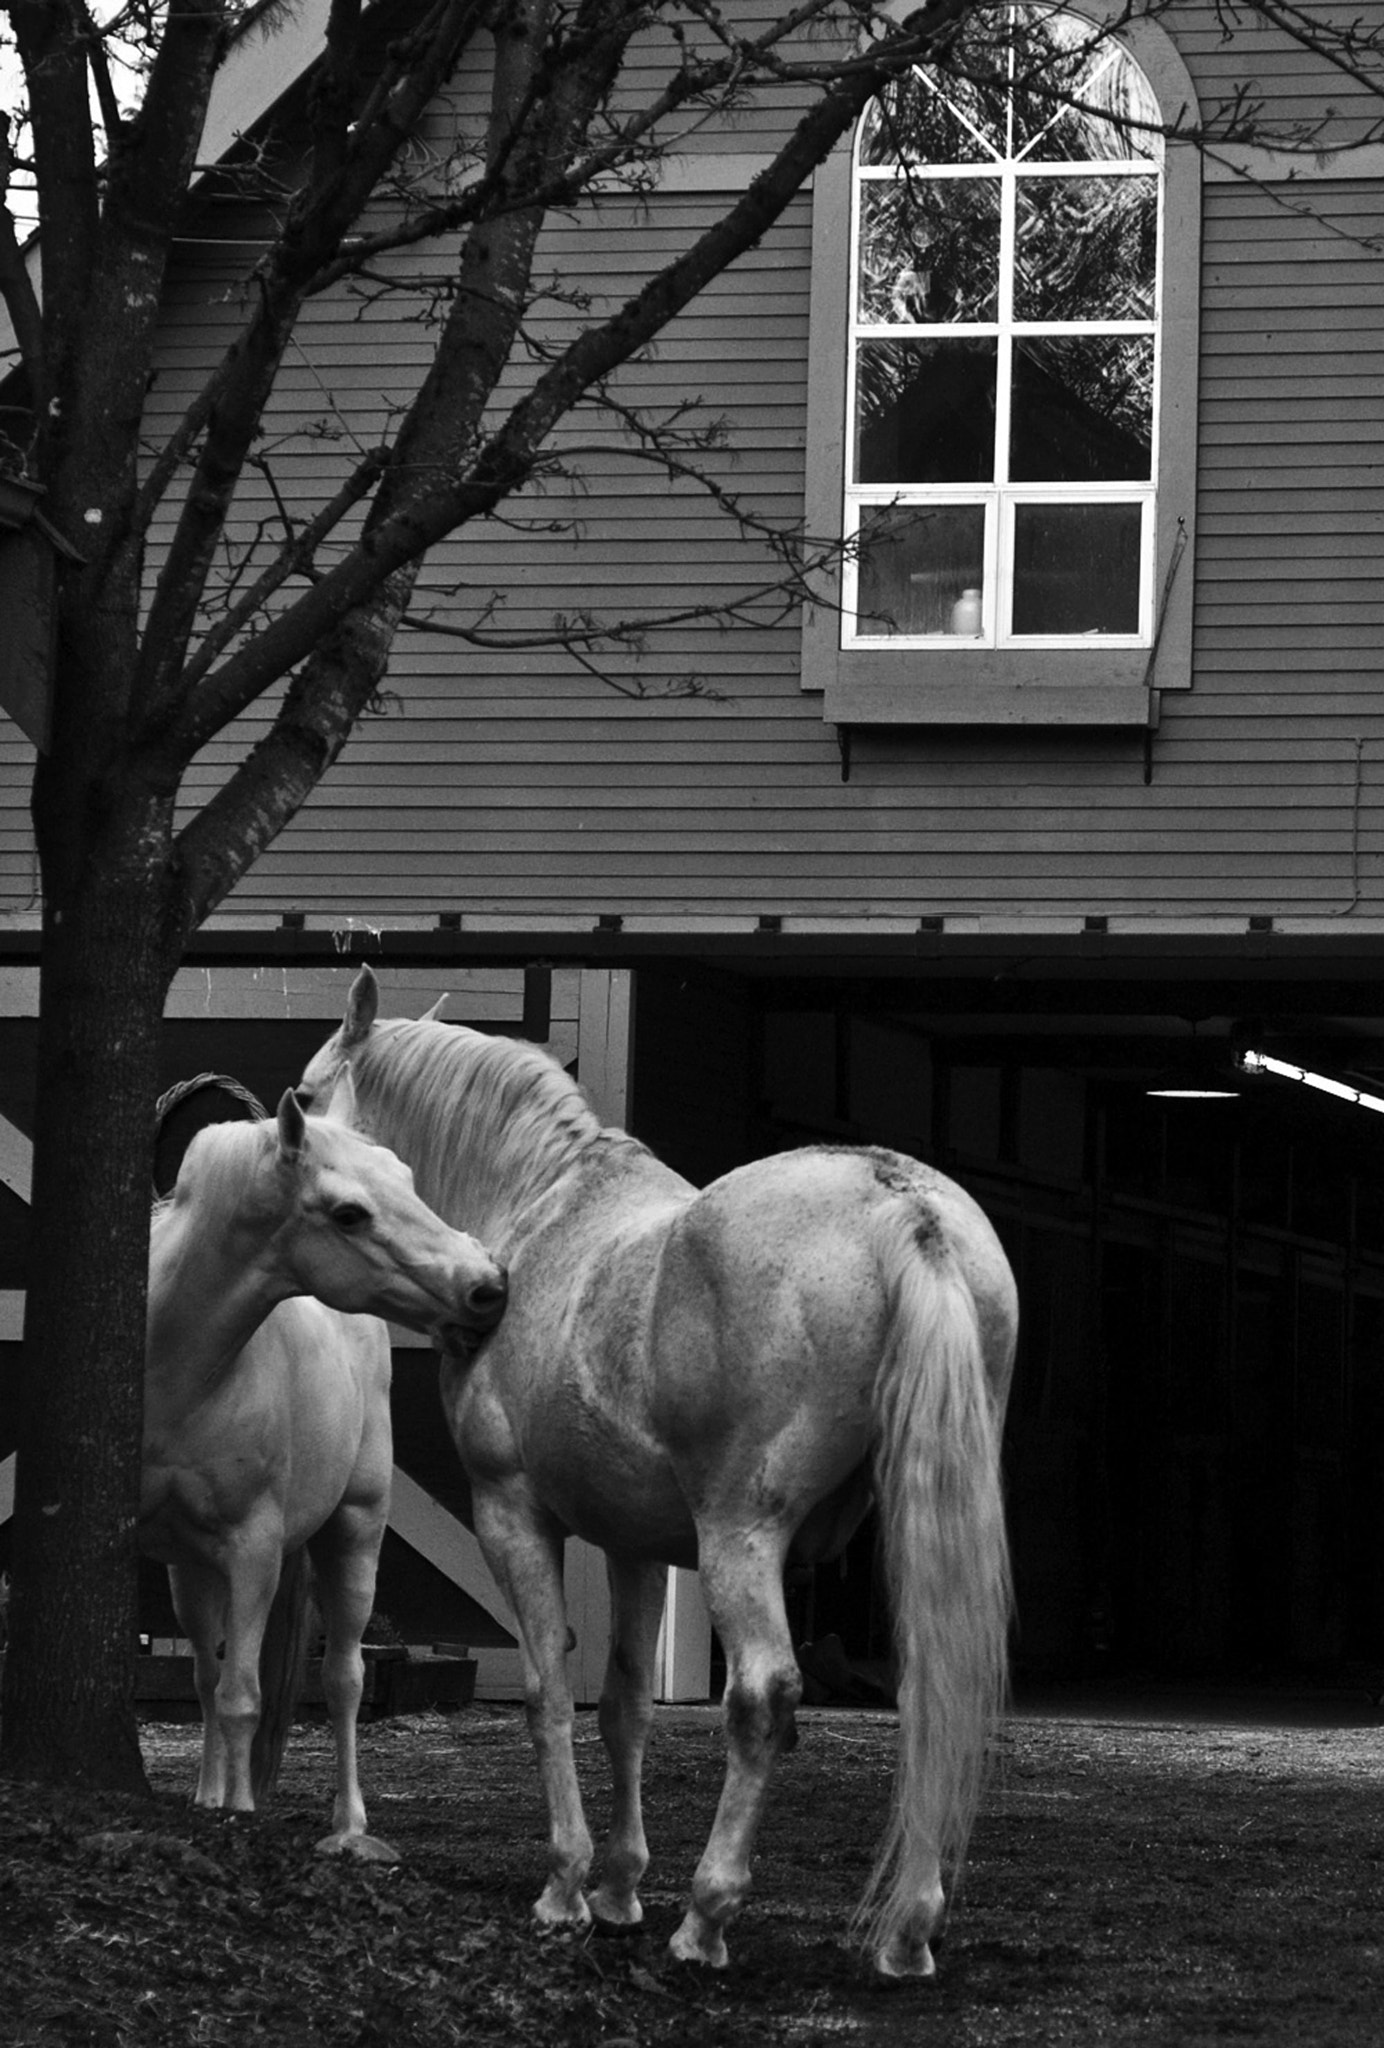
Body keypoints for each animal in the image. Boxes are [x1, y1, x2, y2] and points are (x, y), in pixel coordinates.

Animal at [140, 1081, 505, 1867]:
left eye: (405, 1177)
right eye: (348, 1213)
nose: (489, 1286)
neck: (171, 1369)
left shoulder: (253, 1550)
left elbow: (245, 1697)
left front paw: (242, 1817)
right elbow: (214, 1685)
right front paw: (220, 1804)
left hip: (355, 1533)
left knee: (342, 1680)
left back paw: (349, 1825)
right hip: (192, 1570)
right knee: (206, 1674)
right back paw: (210, 1792)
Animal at [303, 974, 1015, 1966]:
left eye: (307, 1098)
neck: (542, 1208)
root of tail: (905, 1206)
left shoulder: (511, 1515)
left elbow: (547, 1693)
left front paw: (566, 1886)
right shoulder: (633, 1544)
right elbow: (626, 1705)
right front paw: (618, 1886)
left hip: (738, 1535)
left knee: (764, 1693)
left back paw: (707, 1919)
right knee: (930, 1689)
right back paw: (909, 1928)